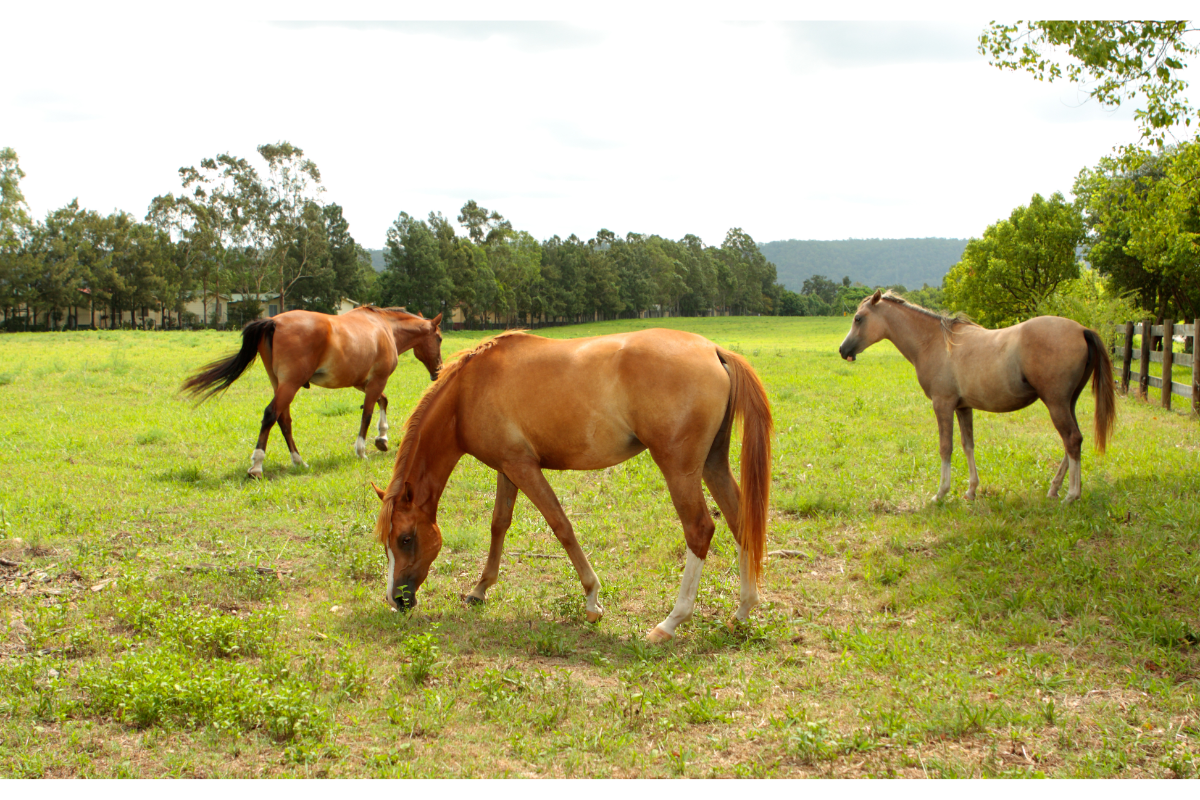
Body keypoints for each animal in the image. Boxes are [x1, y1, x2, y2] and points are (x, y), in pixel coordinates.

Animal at [182, 306, 443, 478]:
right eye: (439, 338)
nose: (438, 371)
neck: (384, 327)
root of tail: (273, 322)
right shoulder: (377, 380)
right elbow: (368, 413)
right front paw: (362, 450)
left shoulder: (363, 382)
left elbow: (383, 402)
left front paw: (382, 439)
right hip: (290, 384)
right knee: (271, 415)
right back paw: (257, 465)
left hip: (280, 384)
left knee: (283, 420)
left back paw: (299, 461)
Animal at [371, 328, 773, 643]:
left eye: (405, 539)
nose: (396, 600)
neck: (468, 391)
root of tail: (714, 350)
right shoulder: (507, 468)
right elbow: (499, 525)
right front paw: (479, 590)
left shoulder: (524, 467)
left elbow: (560, 525)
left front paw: (592, 600)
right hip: (712, 464)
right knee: (740, 522)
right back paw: (742, 611)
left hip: (680, 470)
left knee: (700, 530)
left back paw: (671, 622)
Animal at [838, 290, 1115, 502]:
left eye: (858, 318)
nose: (843, 350)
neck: (934, 342)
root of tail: (1082, 329)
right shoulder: (963, 407)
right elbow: (967, 445)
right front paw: (971, 490)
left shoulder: (943, 405)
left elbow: (946, 447)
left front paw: (941, 493)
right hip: (1068, 402)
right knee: (1073, 442)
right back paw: (1054, 488)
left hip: (1056, 403)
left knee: (1072, 439)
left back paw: (1072, 494)